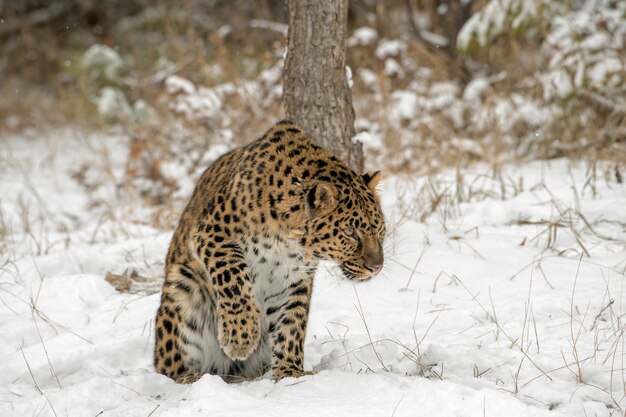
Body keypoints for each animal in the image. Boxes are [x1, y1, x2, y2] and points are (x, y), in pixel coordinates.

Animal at [154, 118, 382, 382]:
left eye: (380, 229)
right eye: (349, 232)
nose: (376, 267)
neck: (288, 238)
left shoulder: (293, 278)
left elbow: (291, 321)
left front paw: (289, 373)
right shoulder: (212, 234)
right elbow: (233, 277)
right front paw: (239, 337)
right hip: (182, 290)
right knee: (167, 367)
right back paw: (191, 377)